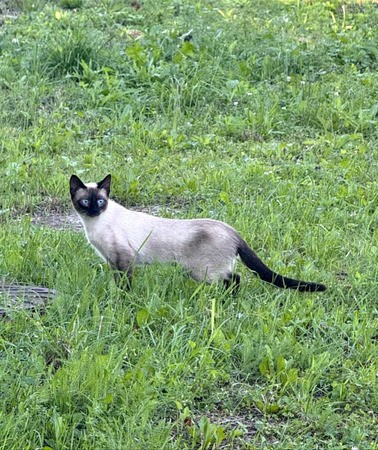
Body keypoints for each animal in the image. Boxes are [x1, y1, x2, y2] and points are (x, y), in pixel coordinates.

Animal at [69, 172, 326, 292]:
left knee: (235, 278)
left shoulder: (124, 259)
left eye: (100, 202)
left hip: (201, 271)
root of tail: (232, 229)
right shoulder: (112, 261)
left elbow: (125, 285)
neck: (93, 226)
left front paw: (125, 299)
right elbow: (117, 282)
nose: (94, 210)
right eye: (85, 202)